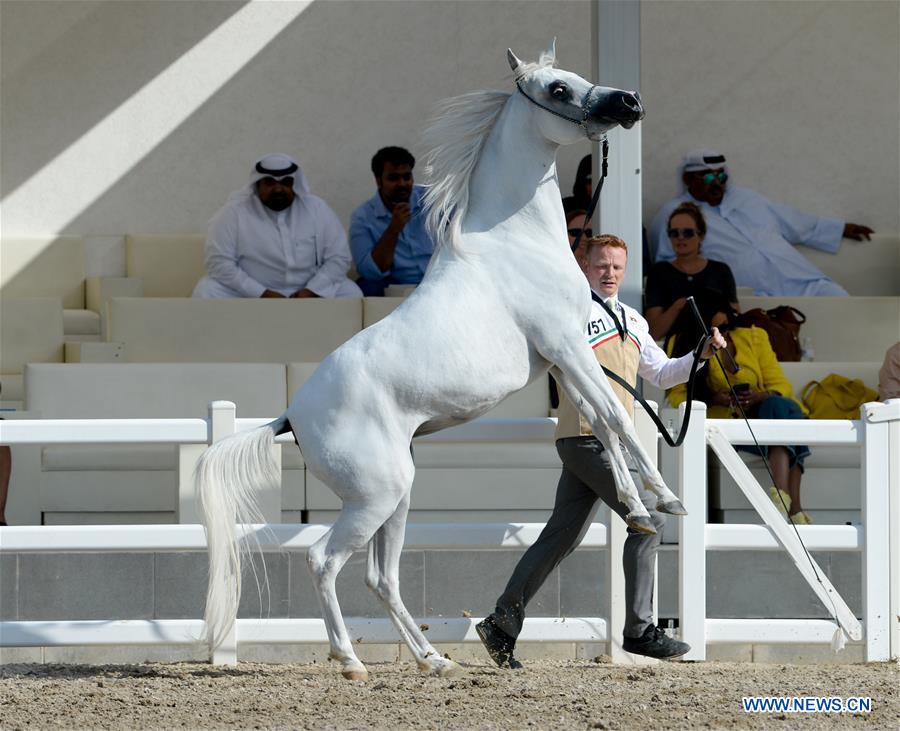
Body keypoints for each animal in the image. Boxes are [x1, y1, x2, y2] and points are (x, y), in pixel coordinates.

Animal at [197, 40, 686, 681]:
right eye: (557, 88)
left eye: (578, 75)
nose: (628, 102)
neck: (514, 241)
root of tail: (291, 418)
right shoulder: (566, 345)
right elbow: (616, 418)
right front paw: (662, 500)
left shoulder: (565, 360)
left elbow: (603, 424)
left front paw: (639, 507)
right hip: (375, 496)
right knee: (324, 561)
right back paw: (351, 661)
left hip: (397, 493)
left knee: (381, 576)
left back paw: (434, 660)